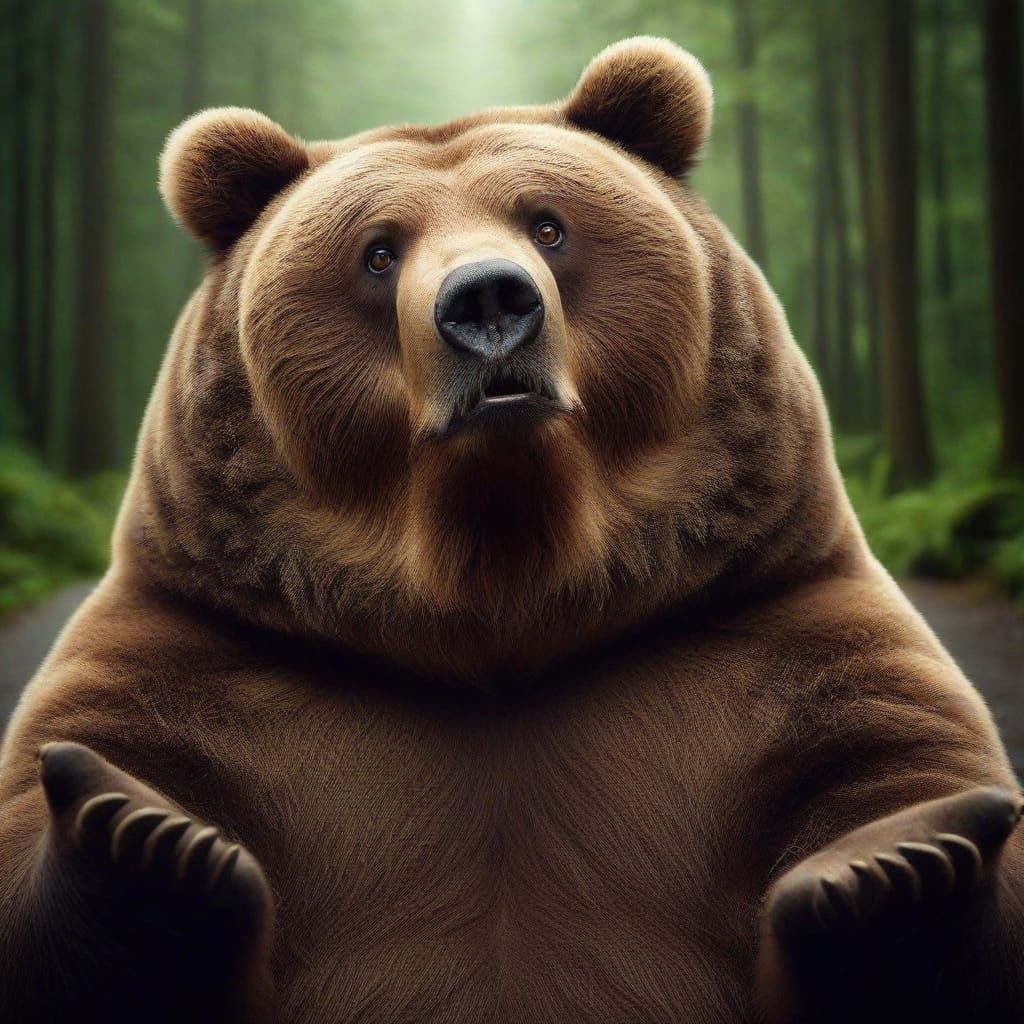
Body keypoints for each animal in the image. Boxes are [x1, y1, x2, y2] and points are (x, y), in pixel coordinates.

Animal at [0, 35, 1022, 1023]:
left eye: (548, 225)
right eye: (378, 253)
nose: (488, 301)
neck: (499, 584)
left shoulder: (775, 627)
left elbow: (905, 758)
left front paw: (894, 863)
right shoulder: (209, 650)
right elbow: (61, 804)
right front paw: (141, 831)